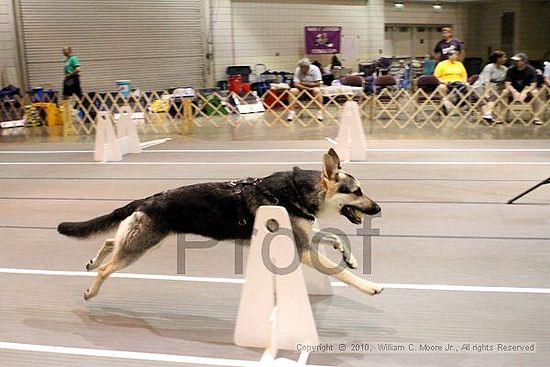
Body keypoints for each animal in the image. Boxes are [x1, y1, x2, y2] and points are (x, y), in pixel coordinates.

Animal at [57, 148, 384, 300]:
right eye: (356, 192)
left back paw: (91, 261)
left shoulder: (305, 237)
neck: (296, 192)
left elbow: (333, 238)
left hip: (143, 240)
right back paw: (91, 290)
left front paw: (351, 258)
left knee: (110, 241)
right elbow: (341, 272)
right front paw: (369, 285)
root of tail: (147, 199)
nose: (378, 209)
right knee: (107, 268)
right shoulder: (302, 250)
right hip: (140, 247)